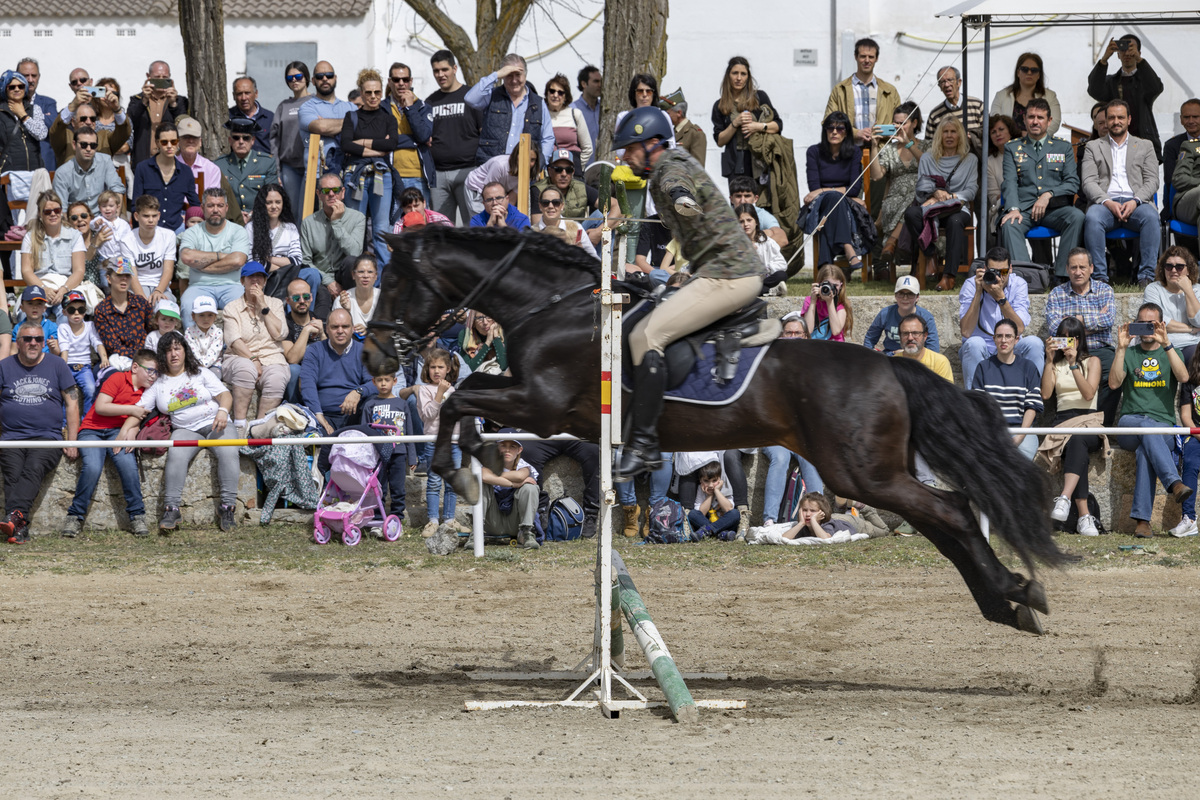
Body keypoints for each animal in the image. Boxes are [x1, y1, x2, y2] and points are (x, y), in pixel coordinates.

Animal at [364, 227, 1070, 633]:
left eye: (393, 281)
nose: (372, 355)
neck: (552, 306)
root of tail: (888, 364)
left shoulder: (542, 404)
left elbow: (460, 396)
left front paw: (461, 468)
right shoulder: (533, 399)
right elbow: (465, 398)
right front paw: (472, 466)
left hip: (859, 471)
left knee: (950, 513)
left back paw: (1013, 593)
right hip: (866, 471)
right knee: (945, 519)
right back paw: (1006, 602)